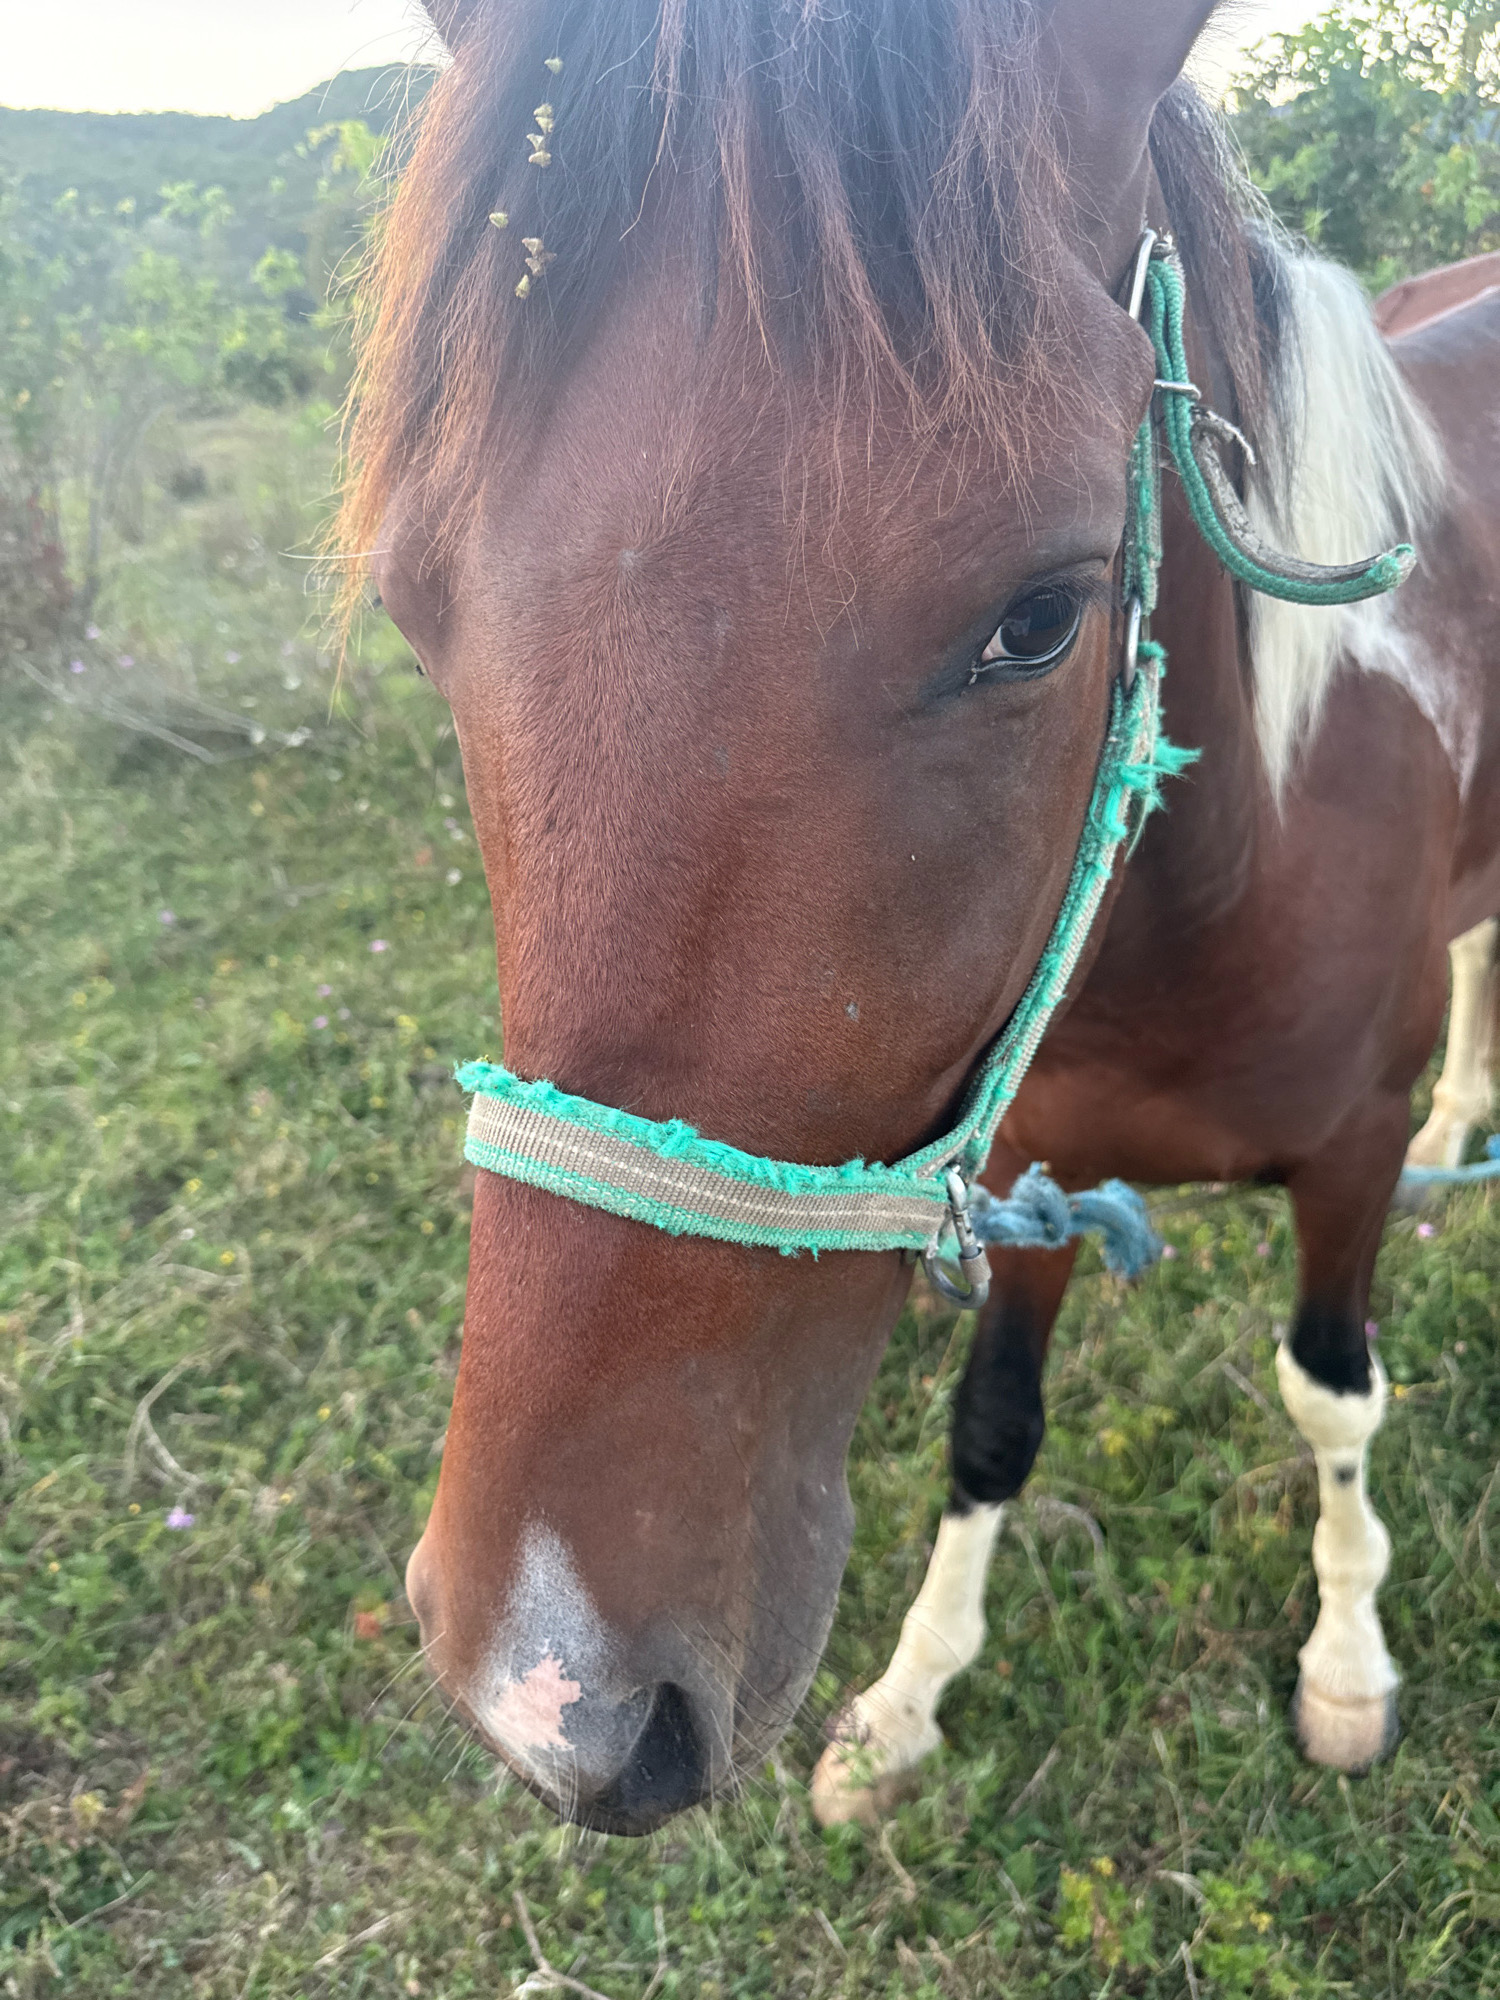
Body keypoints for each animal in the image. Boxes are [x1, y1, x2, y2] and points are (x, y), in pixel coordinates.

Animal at [340, 0, 1500, 1836]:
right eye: (413, 603)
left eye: (1039, 618)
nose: (558, 1695)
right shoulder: (1021, 1162)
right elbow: (992, 1426)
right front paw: (906, 1701)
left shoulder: (1351, 1159)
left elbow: (1333, 1395)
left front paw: (1343, 1663)